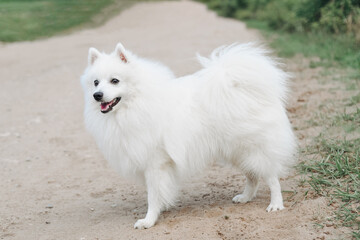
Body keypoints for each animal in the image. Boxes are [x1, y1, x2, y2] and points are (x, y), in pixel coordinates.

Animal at [80, 42, 296, 229]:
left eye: (115, 80)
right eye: (96, 82)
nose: (97, 95)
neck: (137, 103)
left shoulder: (155, 163)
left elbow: (153, 195)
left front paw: (148, 220)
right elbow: (158, 192)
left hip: (253, 147)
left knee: (271, 176)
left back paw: (276, 204)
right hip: (237, 151)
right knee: (253, 176)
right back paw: (245, 197)